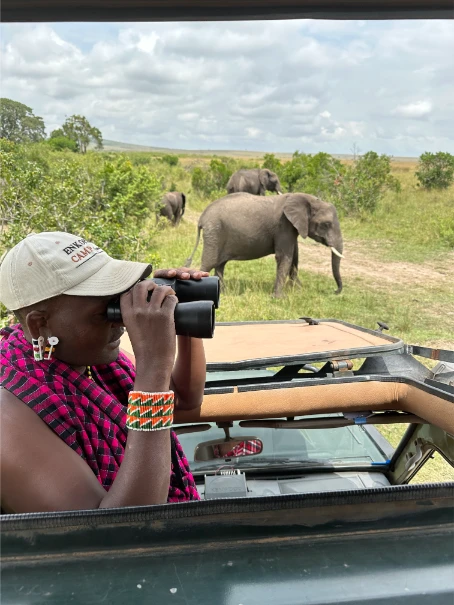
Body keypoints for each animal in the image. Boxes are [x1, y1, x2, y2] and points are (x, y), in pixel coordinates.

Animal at [186, 192, 342, 296]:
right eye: (326, 224)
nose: (335, 291)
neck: (307, 199)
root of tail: (202, 217)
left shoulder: (292, 227)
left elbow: (294, 257)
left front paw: (297, 290)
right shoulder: (283, 225)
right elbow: (284, 257)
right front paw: (280, 297)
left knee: (220, 264)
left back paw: (223, 293)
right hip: (214, 232)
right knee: (209, 263)